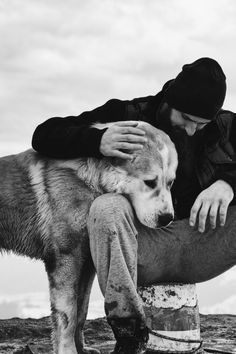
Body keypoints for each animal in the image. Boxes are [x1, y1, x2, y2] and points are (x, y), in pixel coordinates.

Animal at [0, 120, 177, 352]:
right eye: (149, 182)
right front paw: (67, 350)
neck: (92, 180)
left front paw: (81, 348)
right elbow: (67, 314)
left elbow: (81, 311)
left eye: (171, 182)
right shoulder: (65, 258)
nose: (167, 218)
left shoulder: (87, 263)